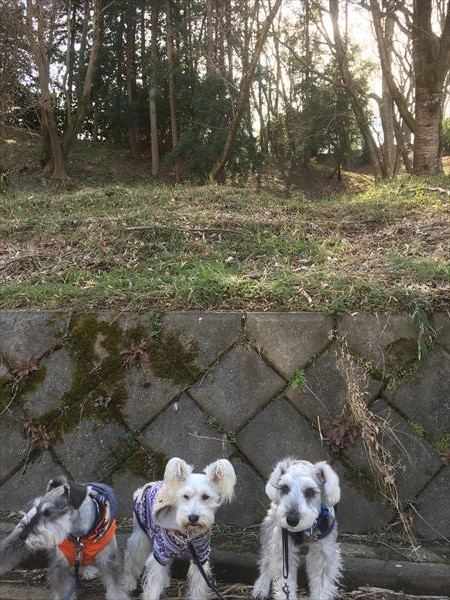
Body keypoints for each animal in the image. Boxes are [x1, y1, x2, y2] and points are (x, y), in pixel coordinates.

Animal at [0, 475, 129, 600]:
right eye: (37, 510)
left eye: (48, 512)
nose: (23, 535)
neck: (80, 536)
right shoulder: (61, 566)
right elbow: (63, 592)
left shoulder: (109, 561)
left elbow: (116, 589)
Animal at [123, 456, 237, 600]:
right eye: (185, 496)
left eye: (205, 496)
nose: (193, 517)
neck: (187, 533)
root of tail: (143, 488)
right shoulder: (160, 554)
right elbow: (153, 585)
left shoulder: (200, 556)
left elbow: (198, 587)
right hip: (140, 538)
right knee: (129, 555)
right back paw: (128, 582)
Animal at [252, 458, 342, 600]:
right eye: (284, 488)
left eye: (310, 491)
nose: (292, 520)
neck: (306, 529)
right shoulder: (283, 548)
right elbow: (285, 582)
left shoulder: (323, 553)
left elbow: (321, 583)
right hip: (269, 530)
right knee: (266, 561)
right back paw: (261, 586)